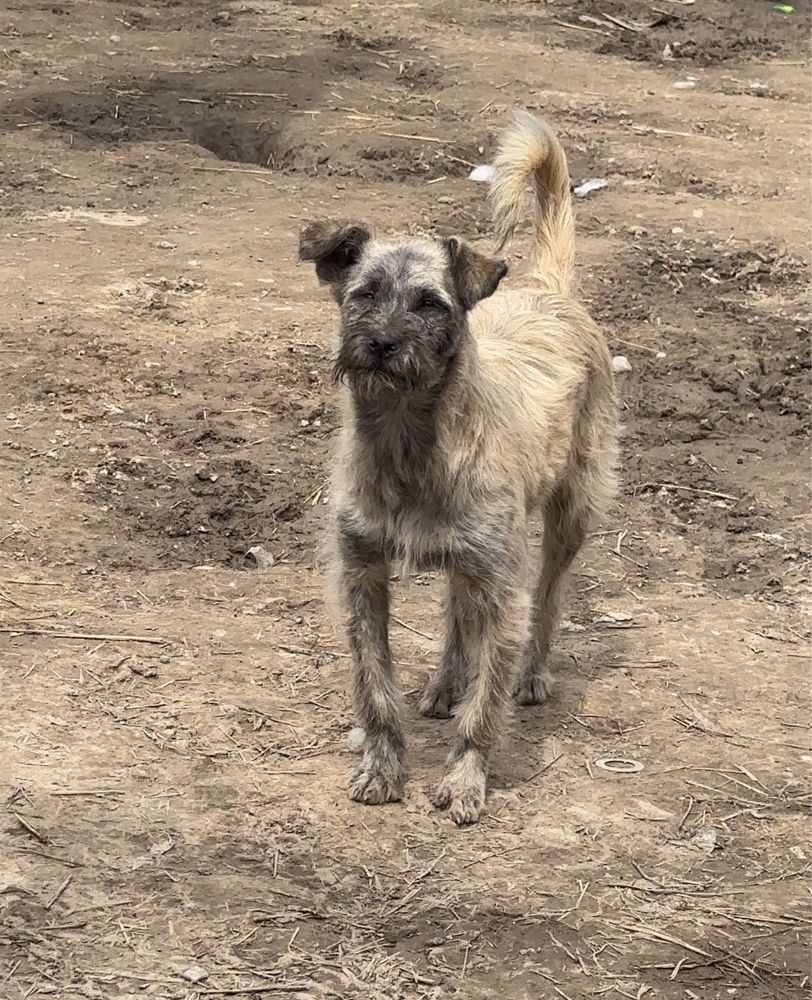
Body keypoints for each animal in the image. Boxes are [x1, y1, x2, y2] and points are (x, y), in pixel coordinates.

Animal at [302, 111, 620, 828]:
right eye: (363, 294)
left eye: (430, 303)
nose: (381, 344)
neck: (407, 442)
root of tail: (549, 289)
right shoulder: (361, 577)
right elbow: (375, 687)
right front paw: (383, 767)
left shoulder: (503, 586)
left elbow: (486, 704)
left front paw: (466, 779)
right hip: (468, 556)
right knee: (455, 610)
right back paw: (445, 683)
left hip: (569, 518)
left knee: (549, 598)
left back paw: (532, 674)